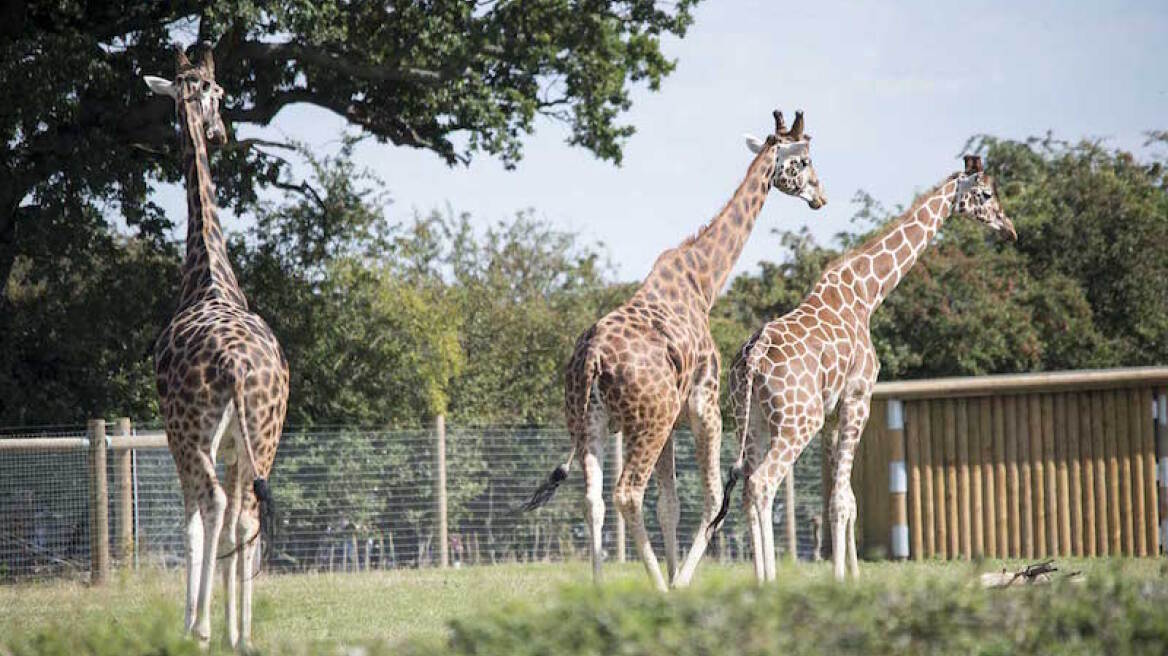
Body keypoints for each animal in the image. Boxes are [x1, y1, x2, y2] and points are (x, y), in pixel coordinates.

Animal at [525, 107, 826, 588]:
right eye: (804, 161)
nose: (821, 197)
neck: (704, 282)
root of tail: (591, 360)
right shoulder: (705, 407)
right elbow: (711, 500)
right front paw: (678, 581)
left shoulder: (670, 427)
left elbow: (670, 505)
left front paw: (671, 574)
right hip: (647, 421)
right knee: (627, 493)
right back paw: (660, 589)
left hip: (590, 423)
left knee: (595, 500)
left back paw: (599, 589)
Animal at [719, 154, 1013, 581]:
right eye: (987, 194)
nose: (1009, 230)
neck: (868, 293)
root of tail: (752, 358)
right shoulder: (859, 397)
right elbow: (843, 500)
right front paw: (842, 579)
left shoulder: (833, 412)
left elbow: (847, 498)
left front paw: (851, 575)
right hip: (797, 420)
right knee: (762, 483)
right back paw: (770, 581)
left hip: (751, 417)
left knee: (745, 487)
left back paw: (760, 579)